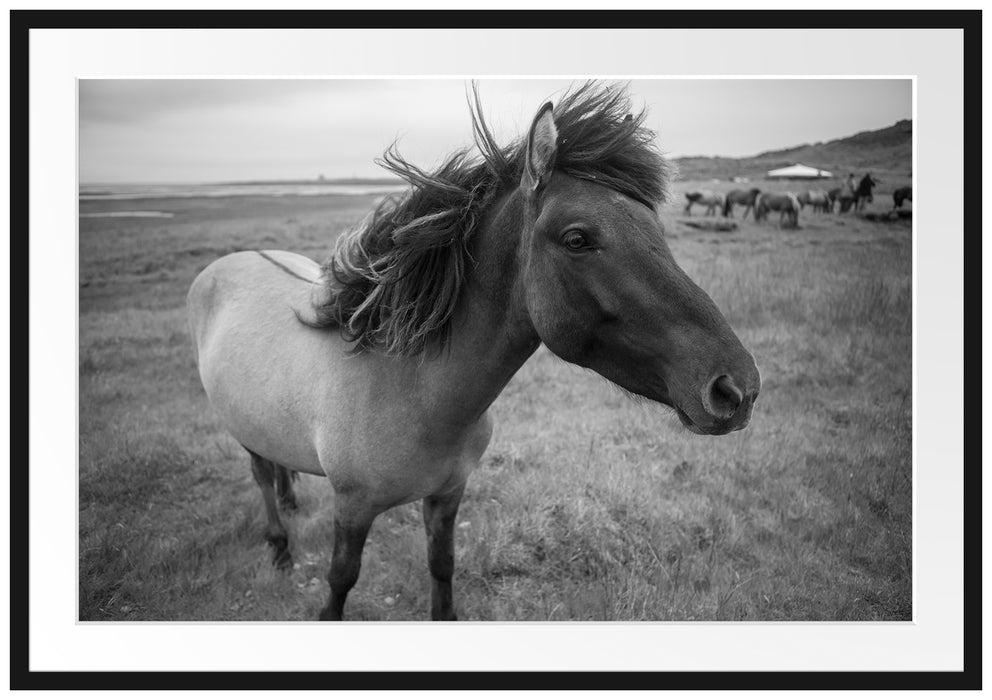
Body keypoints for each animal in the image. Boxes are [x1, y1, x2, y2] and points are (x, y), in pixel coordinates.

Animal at [184, 83, 760, 624]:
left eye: (658, 230)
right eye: (578, 239)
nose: (737, 388)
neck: (409, 390)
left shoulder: (448, 495)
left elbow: (442, 566)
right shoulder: (353, 506)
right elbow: (341, 579)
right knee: (260, 475)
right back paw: (279, 546)